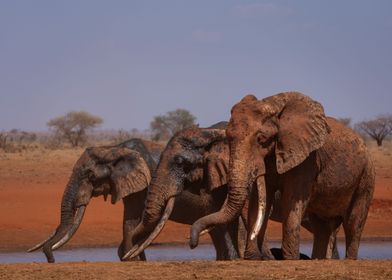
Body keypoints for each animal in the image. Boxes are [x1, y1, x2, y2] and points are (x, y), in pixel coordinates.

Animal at [191, 92, 376, 260]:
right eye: (228, 137)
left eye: (261, 139)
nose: (193, 243)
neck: (273, 105)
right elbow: (258, 201)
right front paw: (253, 258)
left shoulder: (306, 158)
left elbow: (291, 201)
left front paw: (289, 258)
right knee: (321, 226)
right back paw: (318, 259)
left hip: (366, 175)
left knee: (353, 222)